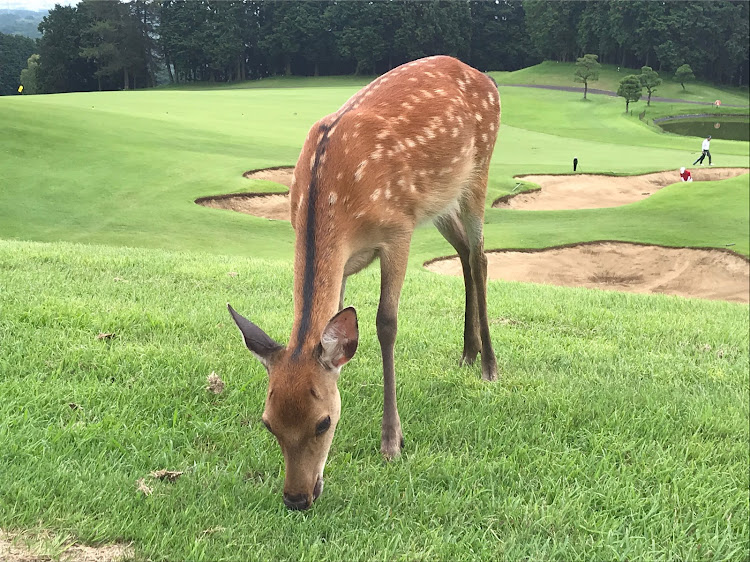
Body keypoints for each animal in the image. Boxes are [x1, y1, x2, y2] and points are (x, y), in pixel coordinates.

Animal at [228, 54, 500, 510]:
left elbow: (385, 324)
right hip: (440, 200)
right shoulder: (343, 265)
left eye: (322, 423)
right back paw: (467, 352)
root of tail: (483, 76)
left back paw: (489, 365)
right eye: (268, 424)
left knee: (480, 255)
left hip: (477, 172)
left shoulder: (398, 231)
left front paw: (392, 441)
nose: (297, 498)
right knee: (465, 253)